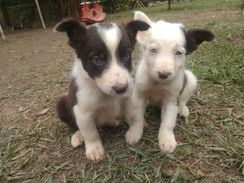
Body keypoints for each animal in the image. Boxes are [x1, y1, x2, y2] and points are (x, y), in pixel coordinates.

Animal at [55, 18, 150, 161]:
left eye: (126, 55)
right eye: (96, 59)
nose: (121, 88)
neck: (102, 92)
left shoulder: (128, 98)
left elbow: (132, 114)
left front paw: (135, 129)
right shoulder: (82, 111)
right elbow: (90, 132)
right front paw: (94, 149)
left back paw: (111, 122)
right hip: (61, 105)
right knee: (75, 125)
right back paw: (78, 135)